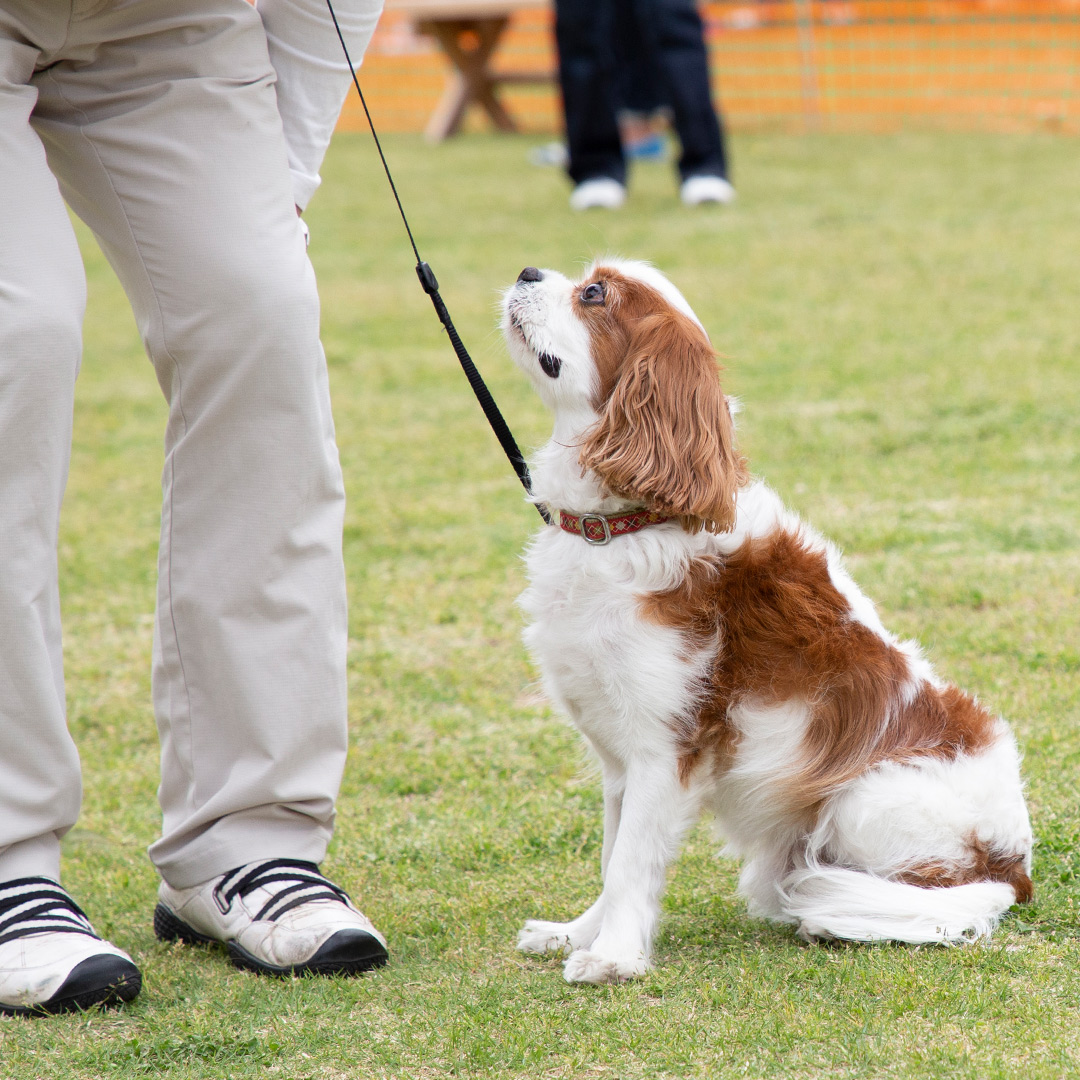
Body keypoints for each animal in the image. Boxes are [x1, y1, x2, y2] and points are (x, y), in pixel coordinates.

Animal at [501, 261, 1032, 989]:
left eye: (594, 294)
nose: (527, 270)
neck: (629, 522)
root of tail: (1016, 868)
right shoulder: (619, 756)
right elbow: (612, 860)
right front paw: (578, 933)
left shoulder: (665, 749)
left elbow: (632, 860)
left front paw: (613, 958)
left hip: (861, 798)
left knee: (951, 898)